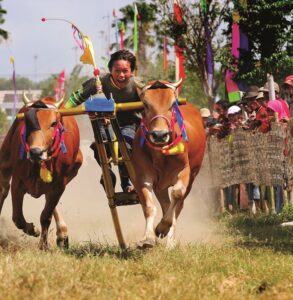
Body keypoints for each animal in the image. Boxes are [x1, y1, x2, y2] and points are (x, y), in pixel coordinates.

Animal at [0, 95, 82, 248]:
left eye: (53, 123)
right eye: (27, 121)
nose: (36, 152)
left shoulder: (59, 186)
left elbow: (45, 216)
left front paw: (43, 245)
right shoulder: (17, 183)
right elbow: (18, 217)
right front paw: (33, 229)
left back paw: (62, 234)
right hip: (5, 162)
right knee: (3, 189)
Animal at [133, 79, 205, 248]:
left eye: (172, 104)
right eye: (145, 104)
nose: (159, 135)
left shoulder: (184, 171)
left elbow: (177, 196)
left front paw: (163, 227)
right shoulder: (143, 176)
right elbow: (149, 206)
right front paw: (148, 237)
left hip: (192, 177)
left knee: (178, 205)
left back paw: (170, 241)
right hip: (161, 185)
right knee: (166, 204)